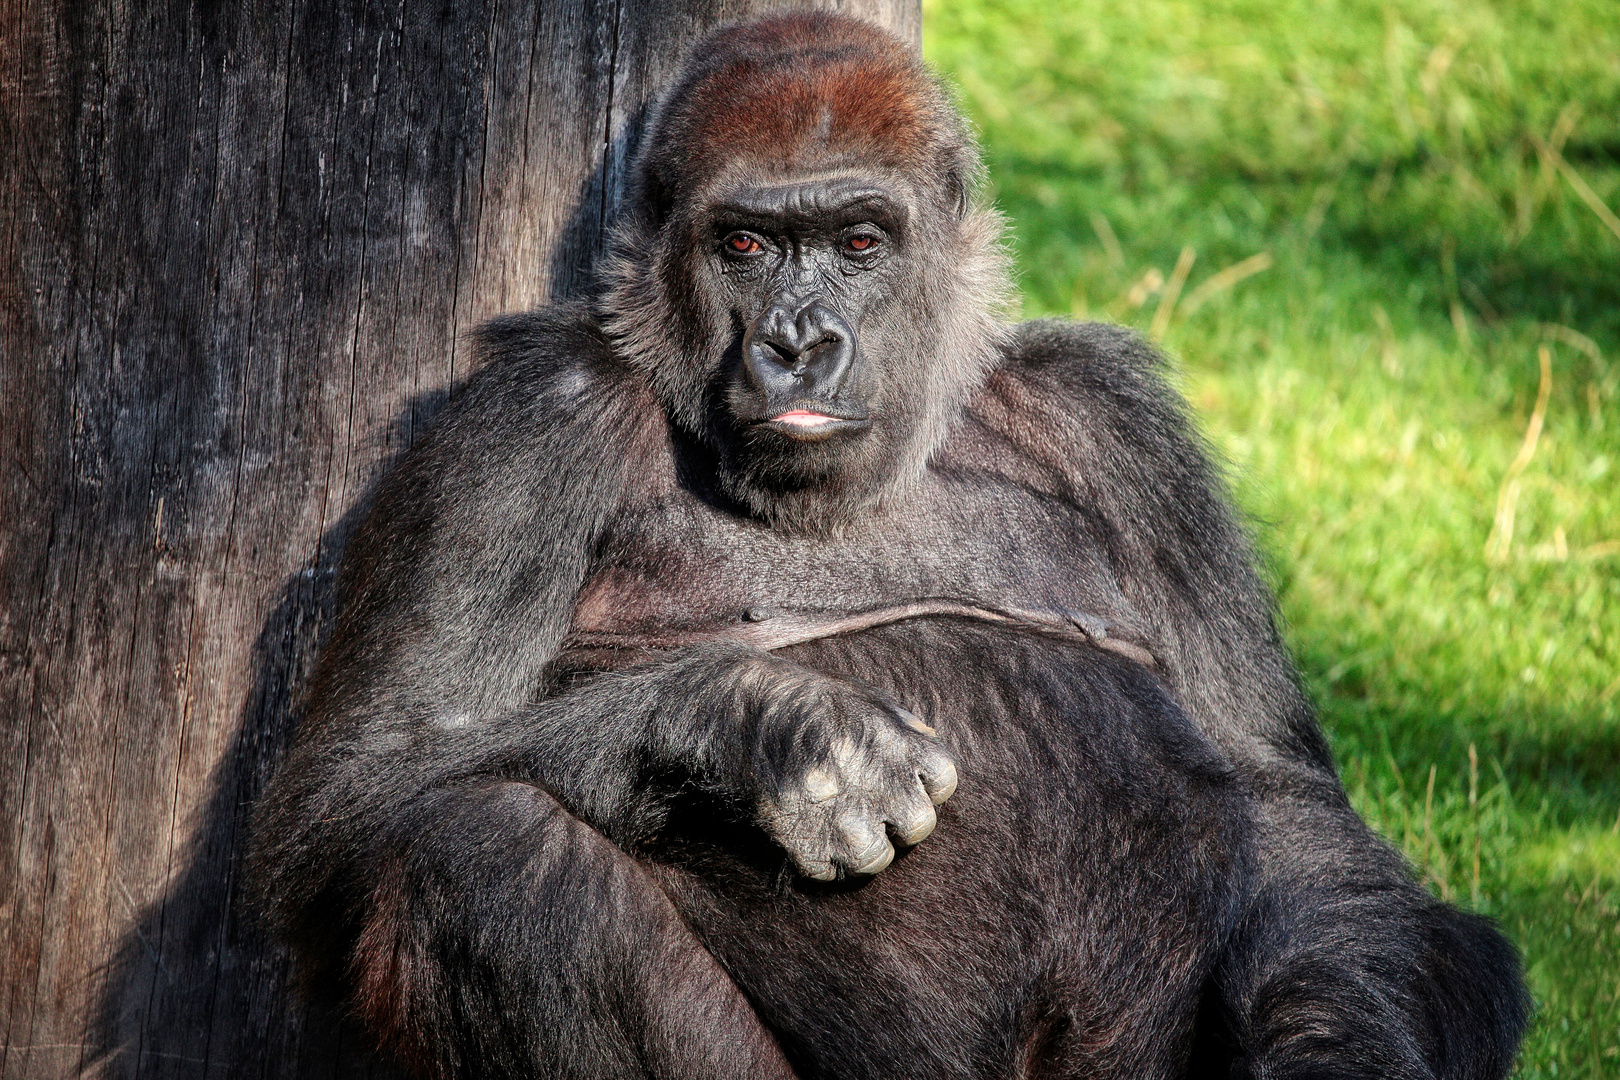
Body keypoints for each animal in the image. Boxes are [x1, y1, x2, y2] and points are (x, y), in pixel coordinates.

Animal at [252, 10, 1529, 1080]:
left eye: (860, 242)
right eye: (747, 247)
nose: (797, 345)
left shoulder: (1117, 425)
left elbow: (1290, 812)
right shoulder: (528, 422)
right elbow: (361, 790)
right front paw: (771, 728)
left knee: (1436, 942)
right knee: (483, 854)